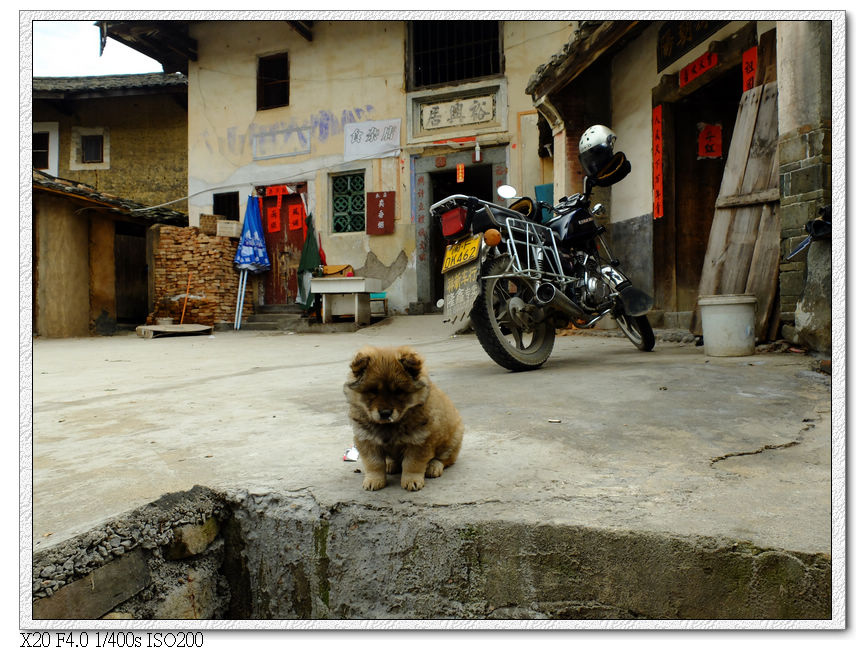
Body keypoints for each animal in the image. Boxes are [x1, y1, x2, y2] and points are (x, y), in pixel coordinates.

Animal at [346, 346, 466, 488]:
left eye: (398, 392)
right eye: (373, 391)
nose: (385, 413)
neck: (390, 425)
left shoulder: (419, 441)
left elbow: (412, 464)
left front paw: (411, 481)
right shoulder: (367, 440)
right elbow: (374, 464)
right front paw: (373, 481)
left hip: (452, 441)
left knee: (444, 459)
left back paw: (433, 467)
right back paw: (391, 465)